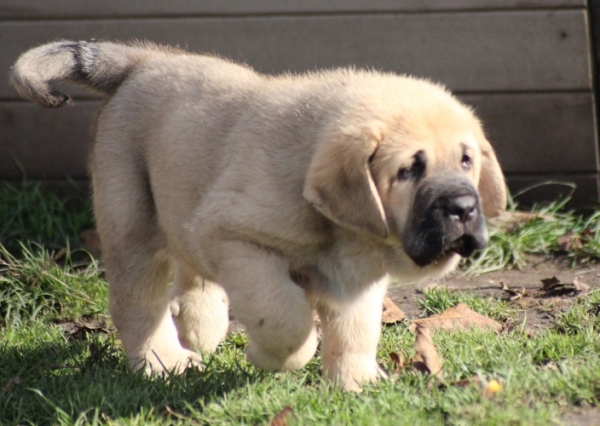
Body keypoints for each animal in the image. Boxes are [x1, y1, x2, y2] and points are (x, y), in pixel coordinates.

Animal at [11, 40, 504, 390]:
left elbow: (356, 329)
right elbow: (284, 315)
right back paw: (163, 361)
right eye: (408, 170)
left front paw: (358, 382)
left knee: (191, 272)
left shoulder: (356, 280)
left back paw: (202, 326)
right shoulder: (234, 239)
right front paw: (279, 357)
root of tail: (144, 60)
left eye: (466, 161)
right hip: (132, 220)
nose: (463, 208)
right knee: (140, 304)